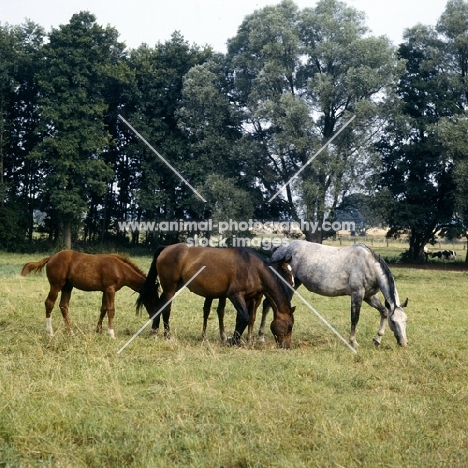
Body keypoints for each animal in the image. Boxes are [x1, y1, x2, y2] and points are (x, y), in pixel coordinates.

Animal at [20, 250, 155, 338]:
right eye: (153, 298)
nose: (153, 315)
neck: (120, 268)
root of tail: (51, 257)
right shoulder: (110, 289)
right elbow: (111, 309)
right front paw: (111, 333)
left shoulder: (105, 290)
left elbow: (103, 308)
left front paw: (98, 330)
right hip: (56, 285)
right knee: (49, 303)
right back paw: (50, 332)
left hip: (67, 287)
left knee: (63, 306)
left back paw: (71, 332)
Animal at [136, 245, 296, 348]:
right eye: (289, 326)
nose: (286, 346)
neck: (253, 267)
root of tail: (166, 248)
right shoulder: (235, 295)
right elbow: (244, 317)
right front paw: (233, 341)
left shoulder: (249, 298)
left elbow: (244, 318)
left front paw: (236, 340)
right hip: (170, 288)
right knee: (163, 307)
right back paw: (159, 333)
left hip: (175, 287)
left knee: (164, 308)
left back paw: (162, 334)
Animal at [264, 241, 410, 348]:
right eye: (393, 321)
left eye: (406, 320)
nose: (403, 343)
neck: (369, 265)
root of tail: (279, 248)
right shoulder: (357, 294)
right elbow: (355, 319)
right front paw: (353, 342)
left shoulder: (369, 296)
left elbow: (384, 311)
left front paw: (377, 339)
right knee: (267, 305)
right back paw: (262, 338)